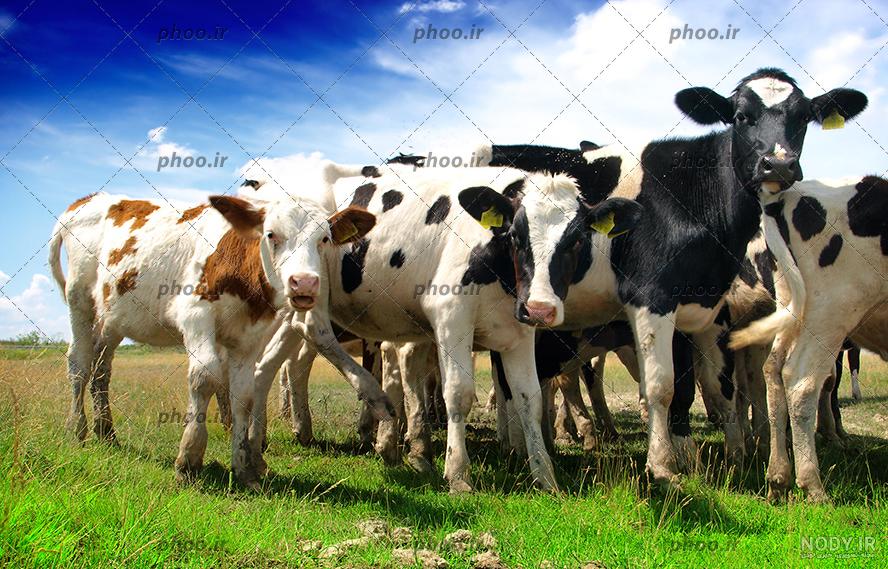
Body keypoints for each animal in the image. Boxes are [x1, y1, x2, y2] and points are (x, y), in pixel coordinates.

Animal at [47, 184, 393, 488]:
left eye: (324, 239)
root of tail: (86, 200)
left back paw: (106, 431)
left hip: (113, 318)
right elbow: (205, 376)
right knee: (79, 363)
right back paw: (77, 429)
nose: (304, 283)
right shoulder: (195, 315)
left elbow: (245, 394)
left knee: (101, 367)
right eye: (271, 234)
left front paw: (244, 467)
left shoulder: (249, 337)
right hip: (79, 300)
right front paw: (189, 458)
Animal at [247, 164, 644, 492]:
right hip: (308, 288)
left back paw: (261, 443)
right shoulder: (451, 317)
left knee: (272, 362)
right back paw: (372, 397)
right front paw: (457, 474)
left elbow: (528, 398)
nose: (542, 308)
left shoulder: (519, 334)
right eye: (516, 235)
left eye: (577, 240)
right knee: (312, 328)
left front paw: (545, 476)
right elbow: (458, 394)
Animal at [468, 68, 867, 487]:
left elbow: (705, 386)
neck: (690, 196)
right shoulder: (651, 297)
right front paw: (662, 465)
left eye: (803, 117)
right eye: (741, 116)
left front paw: (714, 456)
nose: (778, 165)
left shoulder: (702, 310)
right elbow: (660, 385)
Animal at [730, 175, 885, 502]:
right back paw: (810, 483)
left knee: (770, 373)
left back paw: (774, 468)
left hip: (792, 312)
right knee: (800, 382)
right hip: (829, 313)